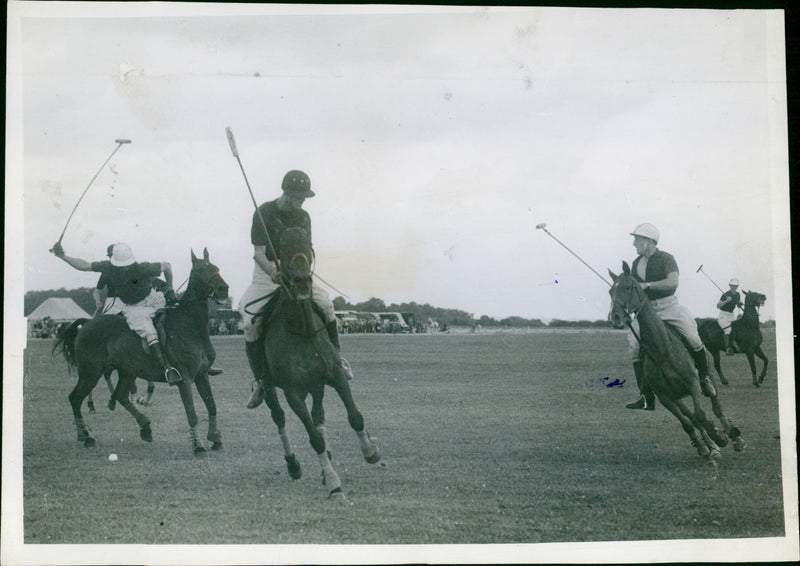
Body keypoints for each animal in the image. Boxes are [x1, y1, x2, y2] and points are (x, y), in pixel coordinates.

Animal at [53, 250, 228, 458]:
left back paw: (145, 427)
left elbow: (212, 406)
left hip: (127, 370)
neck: (190, 326)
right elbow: (192, 414)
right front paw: (199, 447)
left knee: (120, 395)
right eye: (200, 270)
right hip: (91, 371)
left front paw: (216, 439)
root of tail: (86, 324)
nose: (224, 289)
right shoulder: (184, 380)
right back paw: (86, 436)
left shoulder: (202, 375)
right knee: (75, 397)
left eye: (217, 268)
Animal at [253, 226, 384, 502]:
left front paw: (370, 452)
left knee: (319, 415)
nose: (303, 284)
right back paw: (294, 466)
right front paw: (335, 485)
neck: (302, 329)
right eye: (281, 247)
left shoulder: (335, 376)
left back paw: (326, 466)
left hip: (317, 385)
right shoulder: (292, 392)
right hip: (270, 386)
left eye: (309, 243)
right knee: (279, 418)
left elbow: (355, 416)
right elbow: (314, 438)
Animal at [608, 262, 748, 466]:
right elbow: (688, 422)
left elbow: (700, 414)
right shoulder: (665, 397)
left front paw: (720, 437)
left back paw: (734, 437)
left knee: (715, 404)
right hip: (677, 397)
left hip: (707, 376)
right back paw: (709, 446)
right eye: (611, 291)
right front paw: (707, 449)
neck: (661, 351)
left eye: (627, 287)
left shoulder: (693, 383)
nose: (615, 318)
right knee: (691, 417)